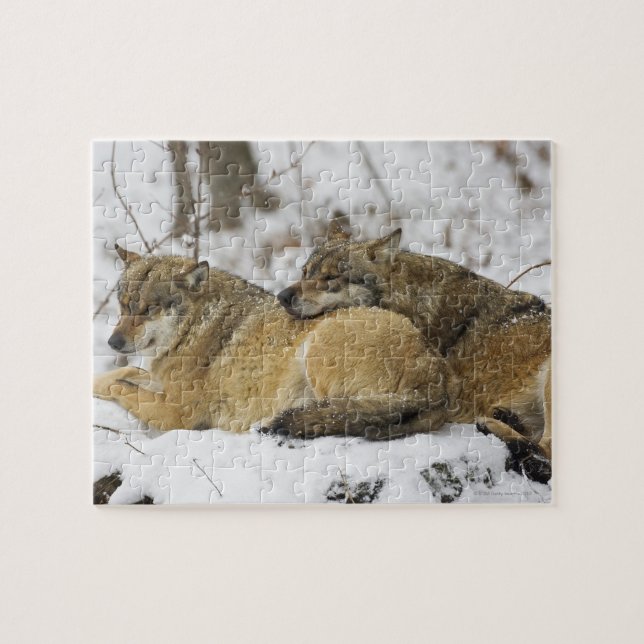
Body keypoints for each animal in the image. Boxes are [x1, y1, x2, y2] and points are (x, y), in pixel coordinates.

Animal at [93, 246, 451, 439]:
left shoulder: (175, 414)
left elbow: (119, 385)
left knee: (337, 415)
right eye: (123, 306)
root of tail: (437, 376)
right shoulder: (156, 381)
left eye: (148, 309)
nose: (112, 342)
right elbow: (120, 375)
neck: (195, 328)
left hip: (317, 349)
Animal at [277, 222, 552, 474]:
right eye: (304, 272)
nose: (282, 296)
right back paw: (506, 418)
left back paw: (493, 425)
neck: (411, 299)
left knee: (545, 455)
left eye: (330, 278)